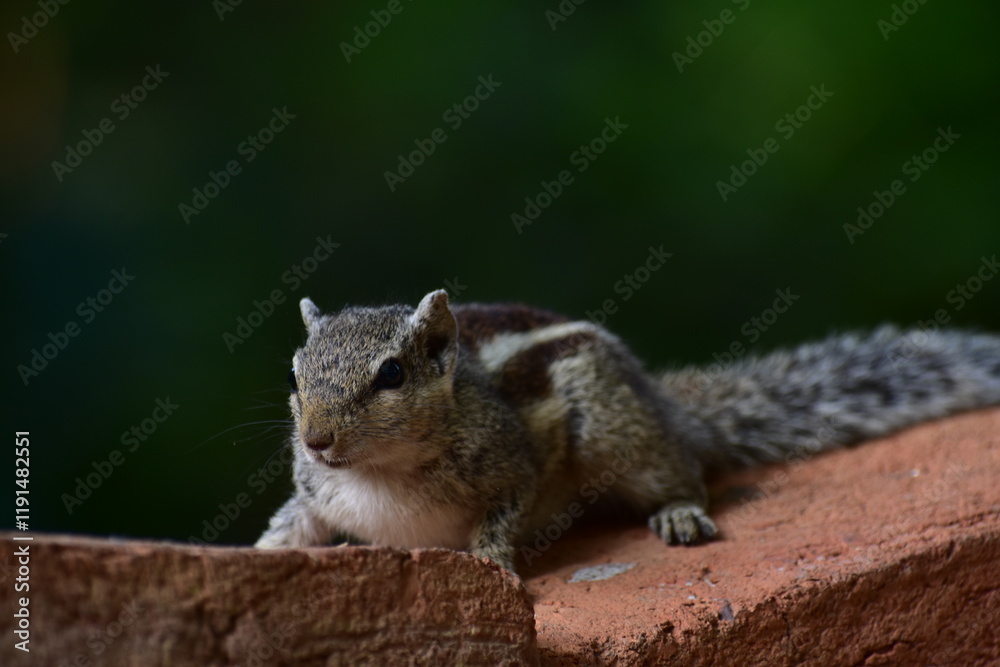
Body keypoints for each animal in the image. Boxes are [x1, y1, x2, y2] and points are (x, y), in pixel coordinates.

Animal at [255, 290, 1000, 572]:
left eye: (391, 375)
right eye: (294, 373)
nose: (316, 440)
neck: (377, 473)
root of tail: (666, 404)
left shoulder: (512, 467)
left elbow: (503, 515)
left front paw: (492, 562)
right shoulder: (318, 495)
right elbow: (292, 527)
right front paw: (262, 554)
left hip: (619, 438)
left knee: (685, 472)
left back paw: (678, 512)